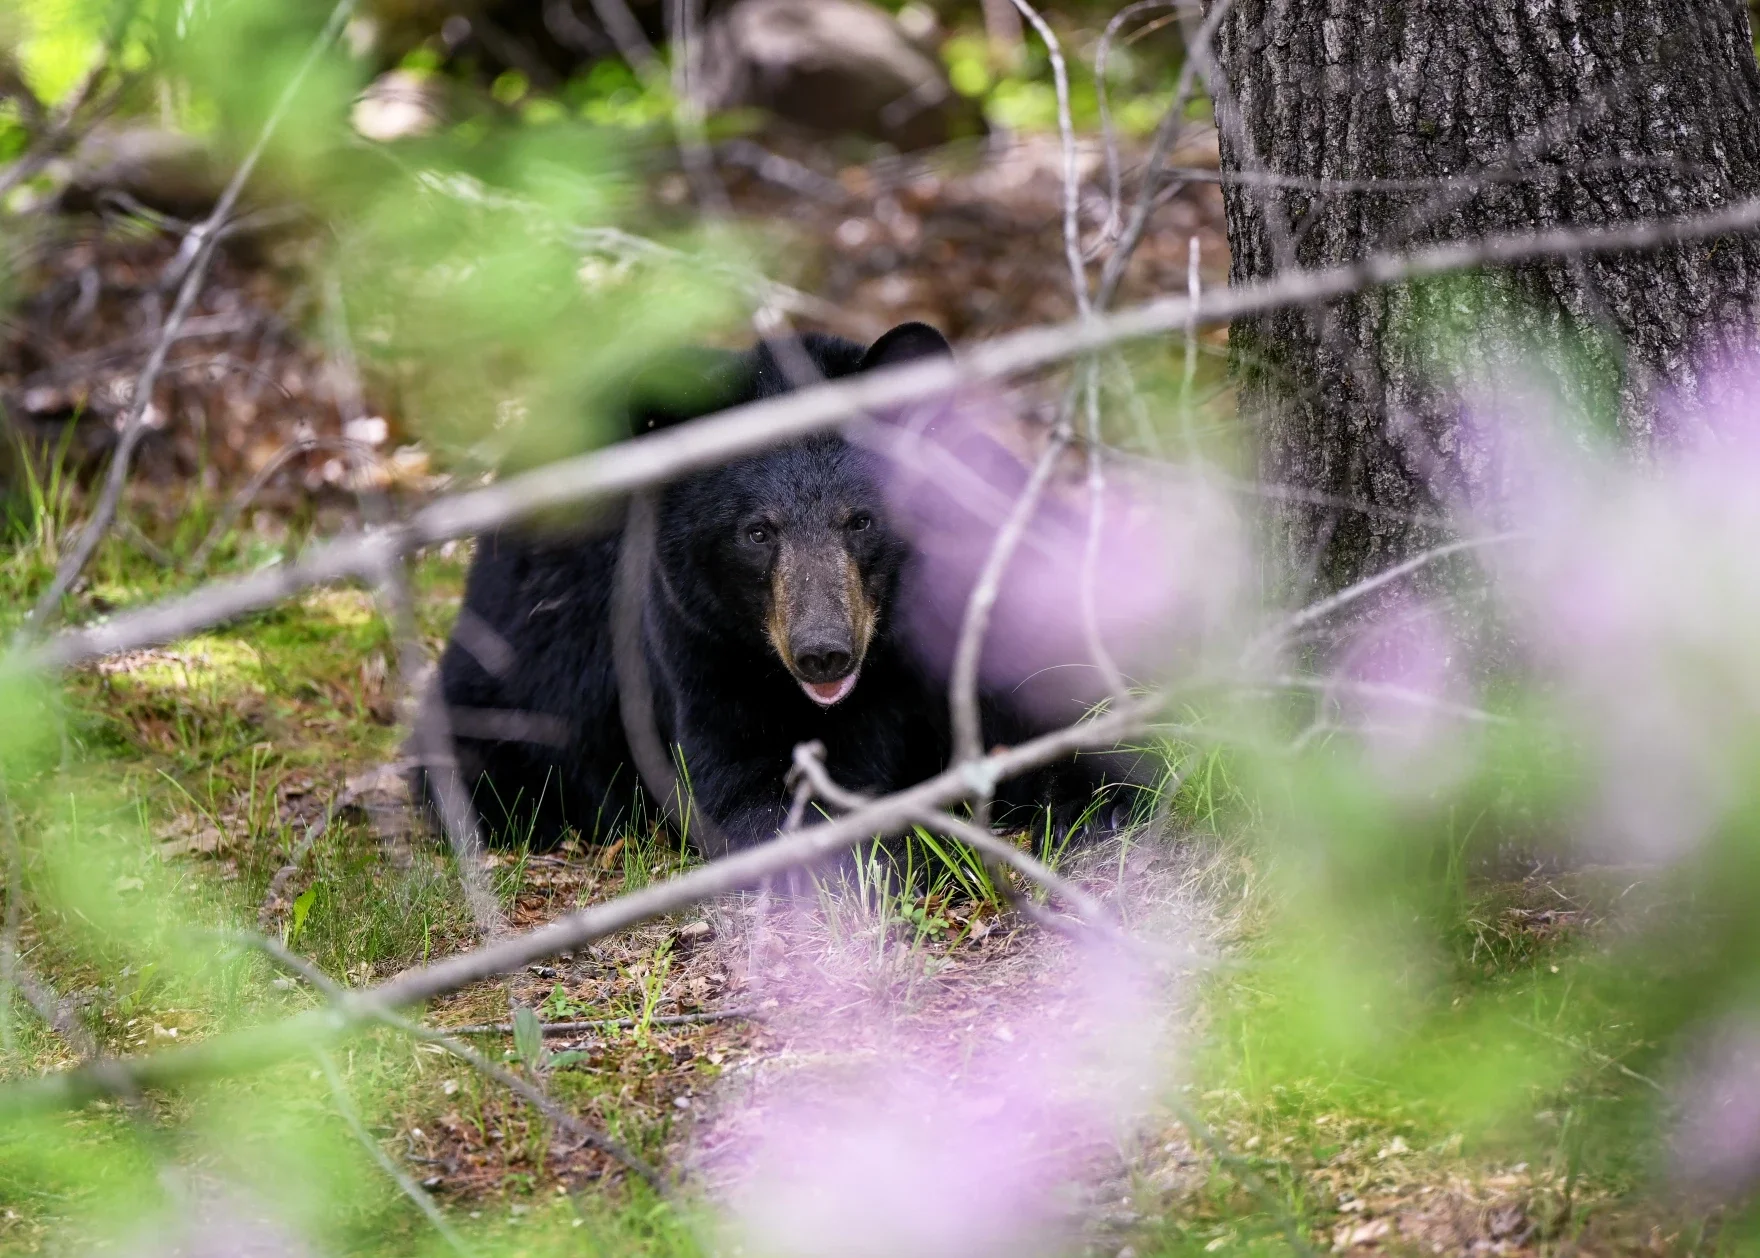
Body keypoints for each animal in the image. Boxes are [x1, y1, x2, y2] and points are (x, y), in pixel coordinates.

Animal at [425, 321, 1132, 853]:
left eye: (861, 519)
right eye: (757, 532)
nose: (824, 652)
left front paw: (1095, 804)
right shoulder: (706, 658)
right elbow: (755, 795)